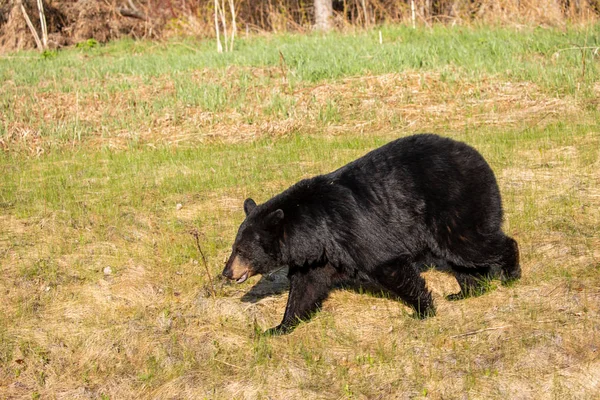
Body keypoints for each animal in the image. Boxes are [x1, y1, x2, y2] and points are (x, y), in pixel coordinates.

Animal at [221, 134, 520, 334]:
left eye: (241, 250)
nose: (227, 272)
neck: (314, 229)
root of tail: (478, 157)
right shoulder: (322, 255)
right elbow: (306, 287)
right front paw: (278, 327)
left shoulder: (353, 230)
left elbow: (386, 264)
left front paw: (423, 311)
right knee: (460, 257)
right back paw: (467, 291)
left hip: (455, 203)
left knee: (470, 244)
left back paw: (511, 274)